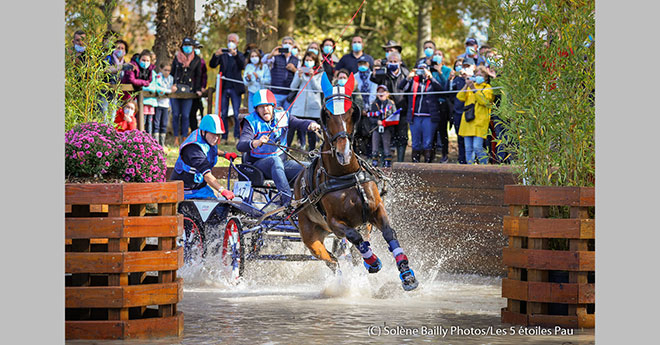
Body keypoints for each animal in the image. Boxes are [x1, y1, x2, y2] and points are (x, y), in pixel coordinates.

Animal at [292, 72, 420, 290]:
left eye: (352, 112)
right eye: (327, 114)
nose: (343, 153)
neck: (346, 176)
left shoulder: (376, 209)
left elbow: (389, 233)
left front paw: (406, 274)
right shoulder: (335, 223)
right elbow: (354, 237)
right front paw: (374, 261)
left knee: (350, 253)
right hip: (312, 239)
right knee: (333, 260)